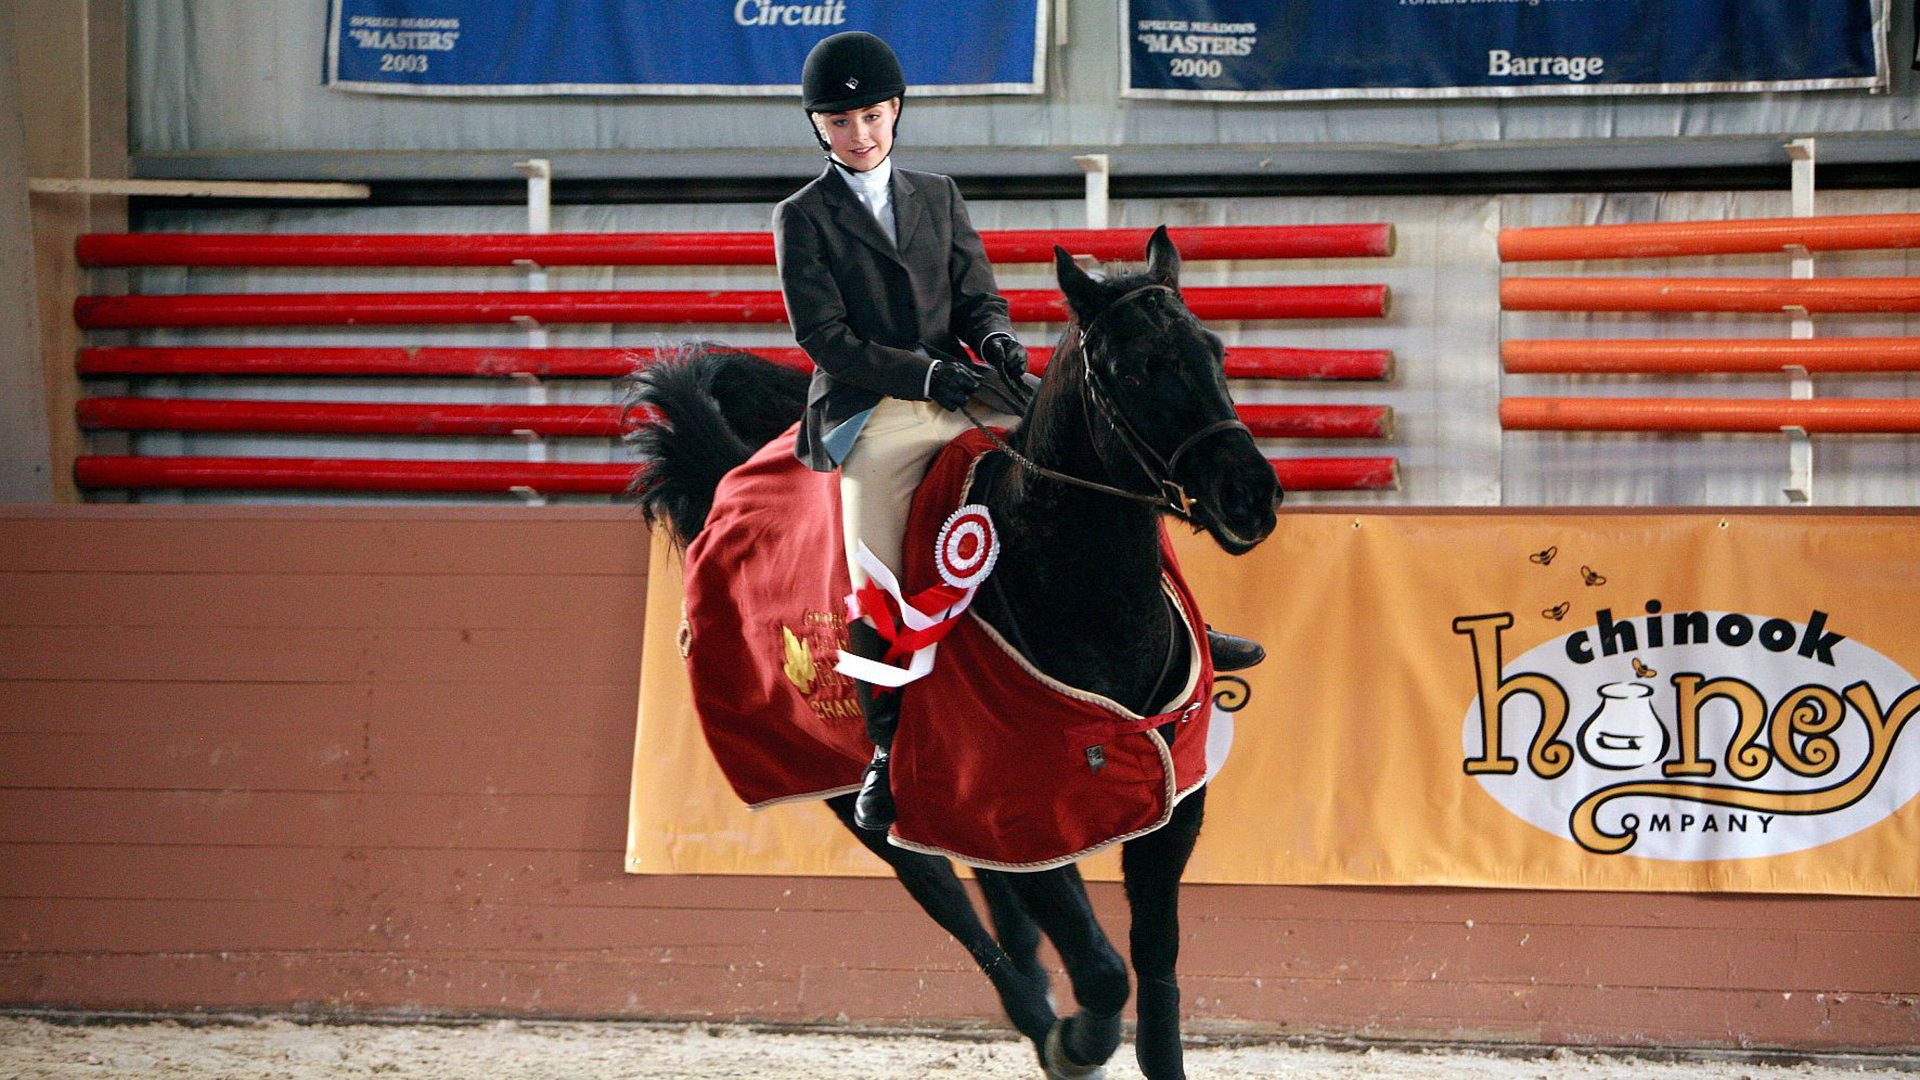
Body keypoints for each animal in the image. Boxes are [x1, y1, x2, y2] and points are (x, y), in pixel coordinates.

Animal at [625, 226, 1281, 1079]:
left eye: (1213, 352)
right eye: (1137, 370)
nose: (1251, 497)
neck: (1080, 596)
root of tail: (725, 485)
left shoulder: (1174, 803)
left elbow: (1156, 965)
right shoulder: (1017, 804)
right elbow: (1103, 972)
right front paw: (1075, 1043)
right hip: (840, 784)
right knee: (938, 887)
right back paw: (1035, 1011)